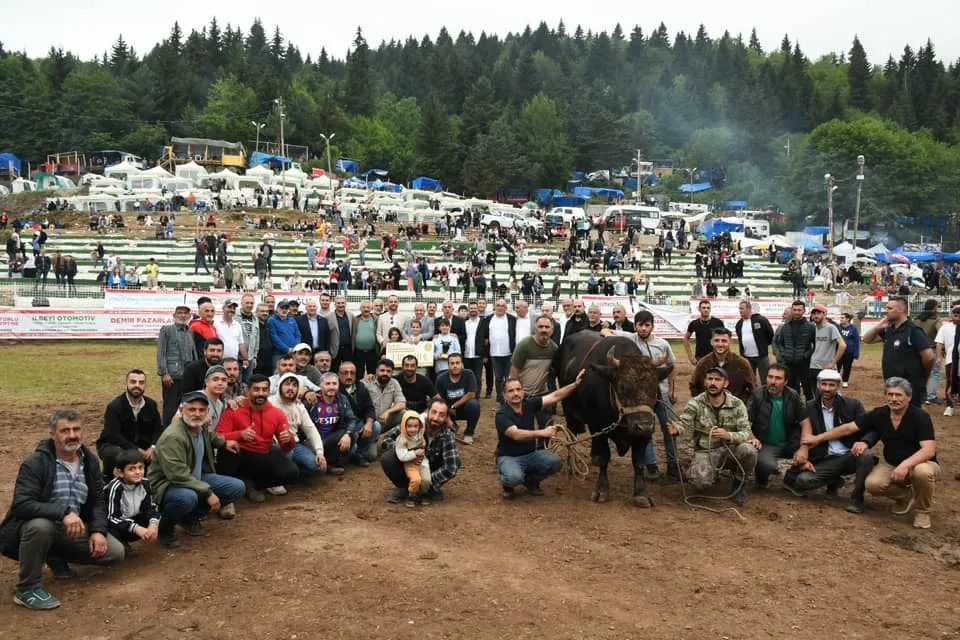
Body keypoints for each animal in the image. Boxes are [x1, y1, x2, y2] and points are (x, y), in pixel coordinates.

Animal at [560, 332, 664, 508]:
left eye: (654, 387)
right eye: (622, 386)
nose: (643, 426)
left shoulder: (645, 433)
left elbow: (638, 461)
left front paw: (641, 494)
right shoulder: (597, 427)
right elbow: (602, 458)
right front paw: (601, 491)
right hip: (569, 412)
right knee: (571, 437)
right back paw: (572, 466)